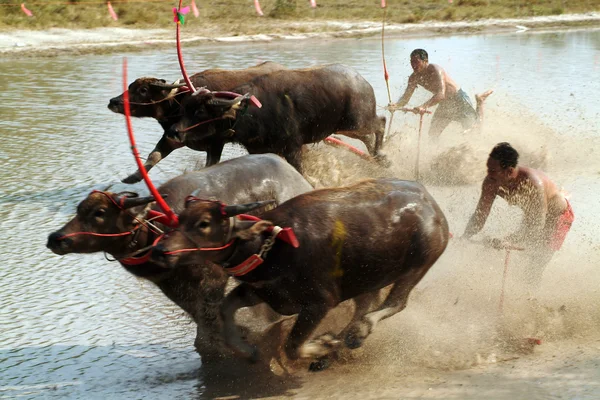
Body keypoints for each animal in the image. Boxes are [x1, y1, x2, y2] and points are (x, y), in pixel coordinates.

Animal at [45, 154, 314, 362]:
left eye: (99, 212)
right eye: (79, 209)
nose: (56, 238)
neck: (156, 231)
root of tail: (300, 180)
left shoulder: (214, 278)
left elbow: (212, 317)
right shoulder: (173, 286)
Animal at [107, 61, 286, 184]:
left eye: (143, 90)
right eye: (130, 86)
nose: (113, 101)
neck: (180, 102)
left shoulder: (217, 142)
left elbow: (210, 165)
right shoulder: (172, 137)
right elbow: (154, 155)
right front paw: (132, 177)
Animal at [152, 178, 448, 366]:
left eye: (203, 224)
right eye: (178, 220)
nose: (159, 250)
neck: (273, 246)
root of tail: (432, 205)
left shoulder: (319, 303)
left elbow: (292, 346)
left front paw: (323, 344)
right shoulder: (263, 293)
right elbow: (226, 309)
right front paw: (247, 350)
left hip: (419, 265)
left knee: (396, 302)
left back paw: (355, 335)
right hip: (368, 277)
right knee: (367, 303)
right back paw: (341, 345)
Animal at [168, 63, 390, 173]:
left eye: (199, 112)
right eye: (184, 108)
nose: (173, 132)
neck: (250, 111)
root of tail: (362, 81)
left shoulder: (293, 148)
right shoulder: (259, 150)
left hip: (356, 123)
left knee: (380, 122)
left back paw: (381, 155)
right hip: (348, 126)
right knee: (371, 133)